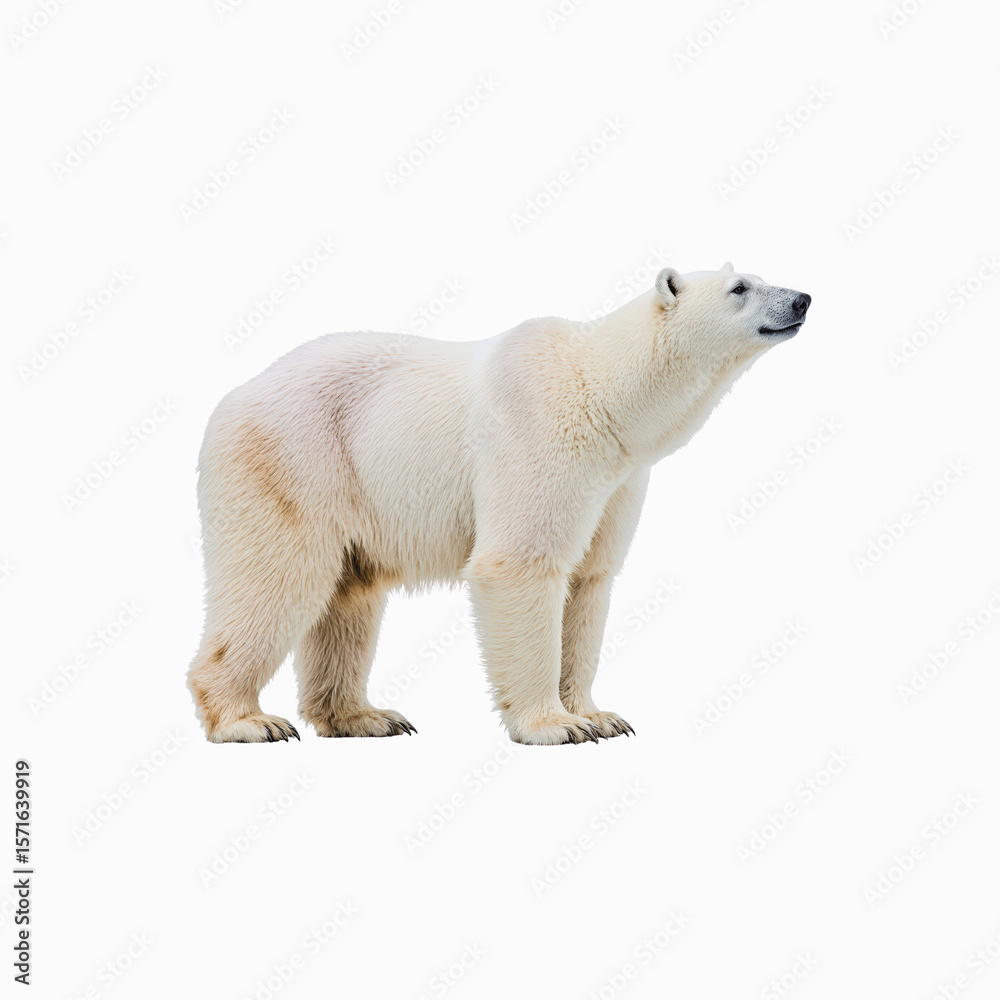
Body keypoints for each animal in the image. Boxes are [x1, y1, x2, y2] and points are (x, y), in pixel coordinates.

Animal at [187, 262, 811, 745]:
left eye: (759, 277)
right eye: (740, 287)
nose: (802, 297)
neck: (604, 395)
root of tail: (232, 397)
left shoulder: (619, 478)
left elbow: (590, 579)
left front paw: (600, 717)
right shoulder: (540, 436)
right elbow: (521, 564)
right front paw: (556, 726)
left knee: (349, 594)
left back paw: (366, 716)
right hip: (294, 459)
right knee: (278, 576)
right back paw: (248, 721)